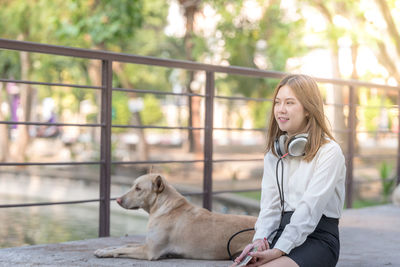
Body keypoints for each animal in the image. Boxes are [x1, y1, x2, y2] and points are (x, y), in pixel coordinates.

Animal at [94, 174, 256, 262]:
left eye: (138, 189)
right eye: (133, 186)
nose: (118, 200)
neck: (164, 206)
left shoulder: (149, 251)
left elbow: (124, 249)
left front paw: (104, 252)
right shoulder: (147, 244)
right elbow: (126, 245)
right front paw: (106, 248)